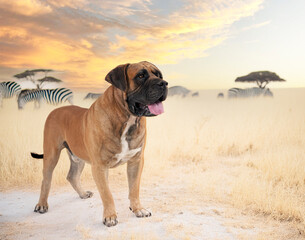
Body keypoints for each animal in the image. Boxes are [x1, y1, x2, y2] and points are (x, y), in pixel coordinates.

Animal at [30, 61, 167, 226]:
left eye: (159, 75)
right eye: (140, 76)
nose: (163, 83)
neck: (126, 119)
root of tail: (54, 111)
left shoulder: (136, 161)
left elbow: (134, 188)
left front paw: (138, 209)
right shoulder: (100, 167)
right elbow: (107, 193)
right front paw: (110, 216)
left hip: (78, 157)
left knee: (72, 176)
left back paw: (82, 194)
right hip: (51, 155)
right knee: (46, 180)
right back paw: (42, 204)